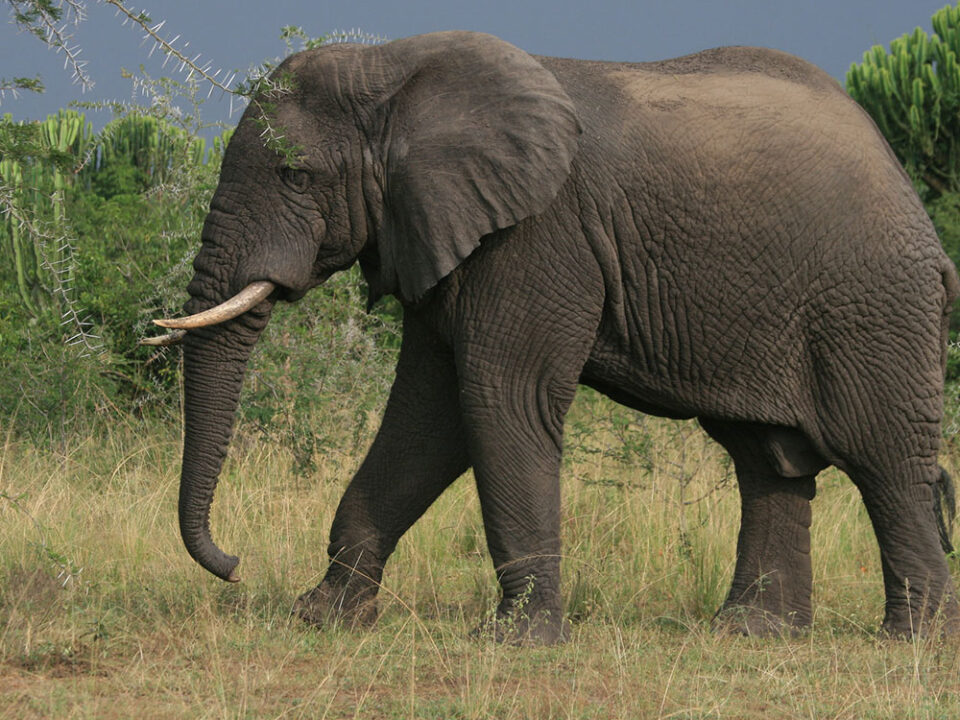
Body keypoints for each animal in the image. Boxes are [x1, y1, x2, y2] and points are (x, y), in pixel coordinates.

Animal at [149, 31, 960, 643]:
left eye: (296, 175)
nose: (235, 563)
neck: (394, 68)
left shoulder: (538, 235)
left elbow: (501, 398)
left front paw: (520, 641)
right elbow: (428, 418)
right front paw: (324, 618)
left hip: (872, 306)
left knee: (886, 459)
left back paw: (911, 639)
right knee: (768, 459)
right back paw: (751, 632)